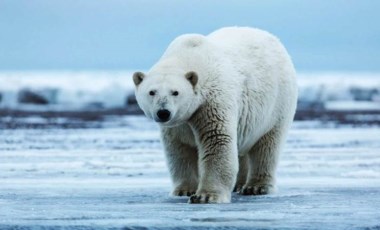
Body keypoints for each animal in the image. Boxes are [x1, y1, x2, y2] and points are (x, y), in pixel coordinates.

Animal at [133, 26, 296, 203]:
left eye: (175, 92)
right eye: (152, 92)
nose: (163, 112)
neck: (190, 55)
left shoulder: (211, 102)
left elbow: (216, 139)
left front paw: (205, 196)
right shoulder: (178, 124)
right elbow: (180, 149)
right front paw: (184, 190)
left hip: (277, 105)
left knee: (267, 146)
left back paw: (256, 187)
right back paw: (239, 184)